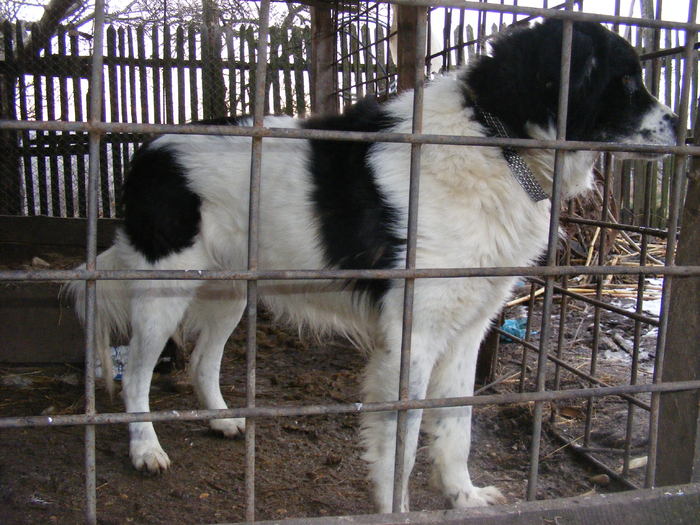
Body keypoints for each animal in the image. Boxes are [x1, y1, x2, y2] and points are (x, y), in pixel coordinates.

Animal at [67, 21, 680, 512]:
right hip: (166, 287)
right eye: (627, 83)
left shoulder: (467, 328)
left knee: (201, 362)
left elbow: (456, 425)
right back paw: (146, 448)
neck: (496, 142)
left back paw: (221, 418)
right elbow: (402, 439)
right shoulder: (414, 334)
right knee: (137, 375)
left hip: (231, 291)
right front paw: (398, 508)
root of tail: (148, 150)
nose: (681, 125)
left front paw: (463, 497)